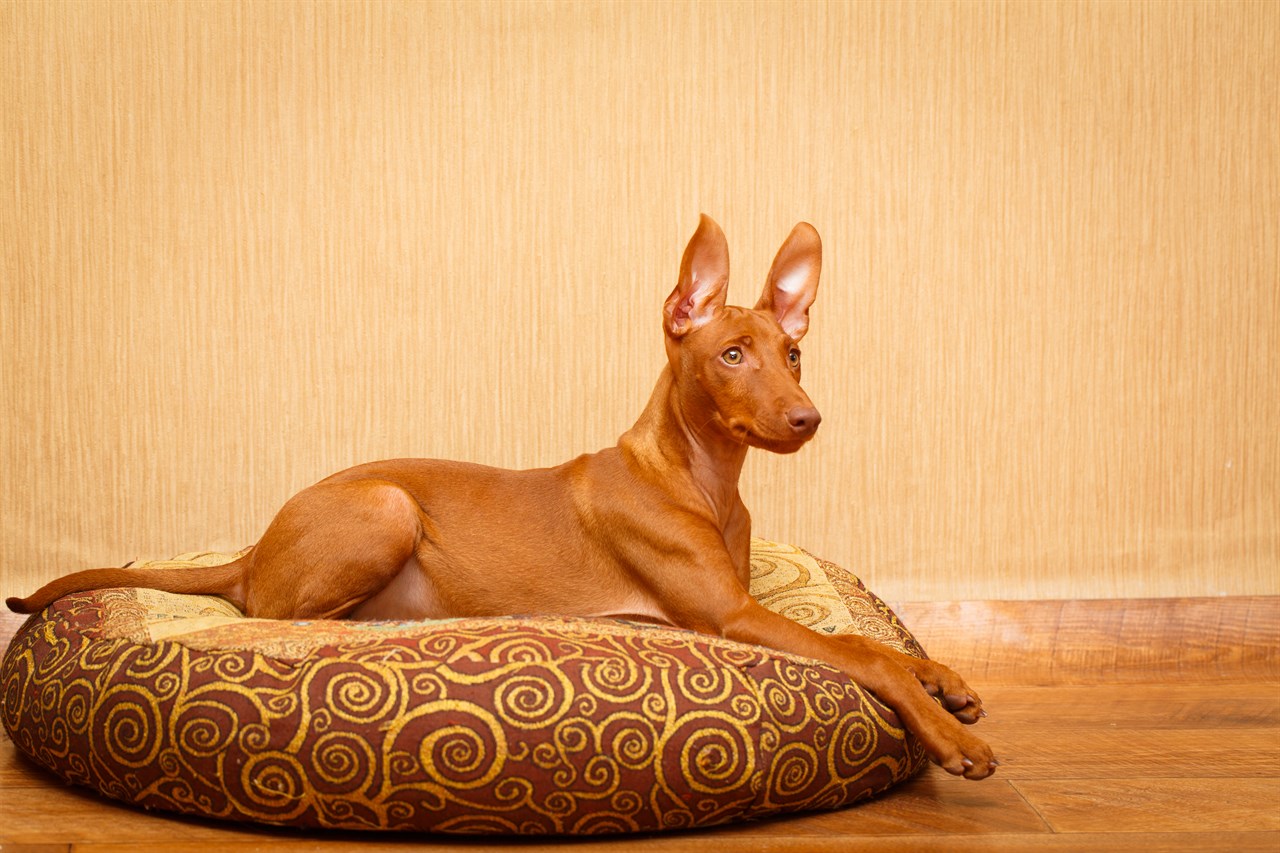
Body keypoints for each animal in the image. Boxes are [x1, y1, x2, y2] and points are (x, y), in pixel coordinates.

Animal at [7, 213, 998, 778]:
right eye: (730, 354)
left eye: (793, 353)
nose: (807, 417)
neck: (700, 473)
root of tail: (252, 545)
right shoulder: (730, 615)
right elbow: (857, 651)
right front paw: (947, 733)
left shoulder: (749, 601)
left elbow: (875, 644)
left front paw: (945, 679)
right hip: (387, 508)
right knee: (280, 613)